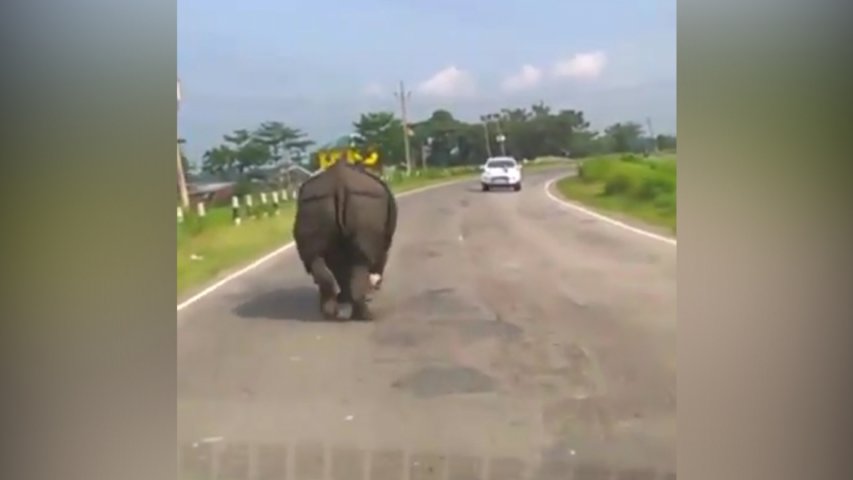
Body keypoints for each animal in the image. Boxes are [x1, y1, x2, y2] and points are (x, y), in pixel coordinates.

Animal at [292, 160, 398, 320]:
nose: (378, 286)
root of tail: (339, 185)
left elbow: (340, 272)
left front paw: (344, 298)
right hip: (365, 203)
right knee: (361, 260)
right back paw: (366, 316)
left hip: (314, 204)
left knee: (316, 259)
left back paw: (329, 313)